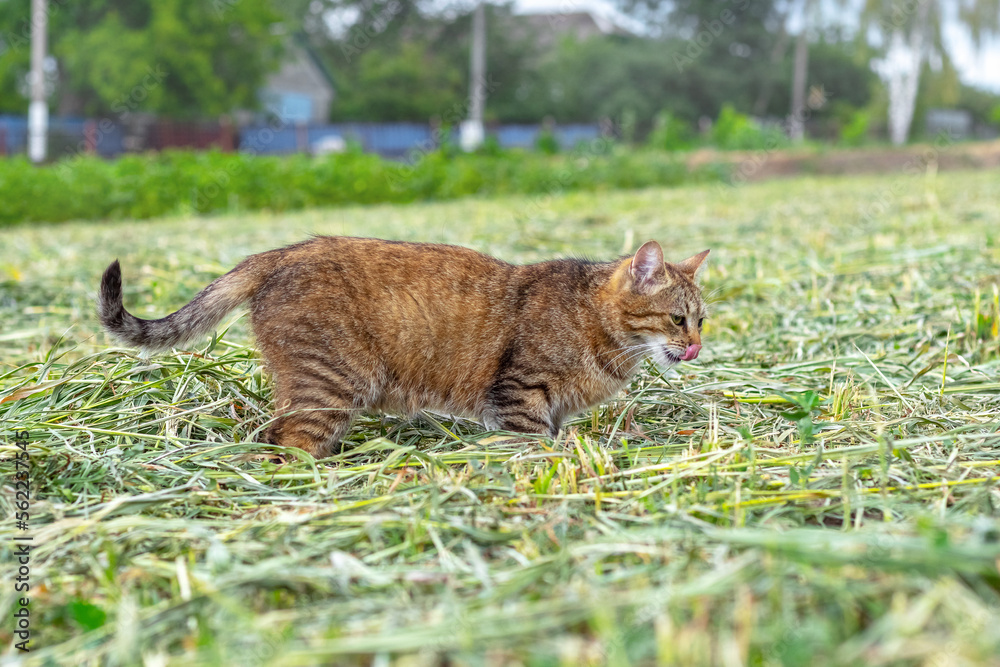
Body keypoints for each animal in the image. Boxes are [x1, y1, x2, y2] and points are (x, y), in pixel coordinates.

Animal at [99, 236, 712, 460]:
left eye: (703, 320)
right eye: (677, 319)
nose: (697, 348)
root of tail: (281, 252)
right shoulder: (520, 396)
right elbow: (535, 444)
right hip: (329, 385)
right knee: (286, 440)